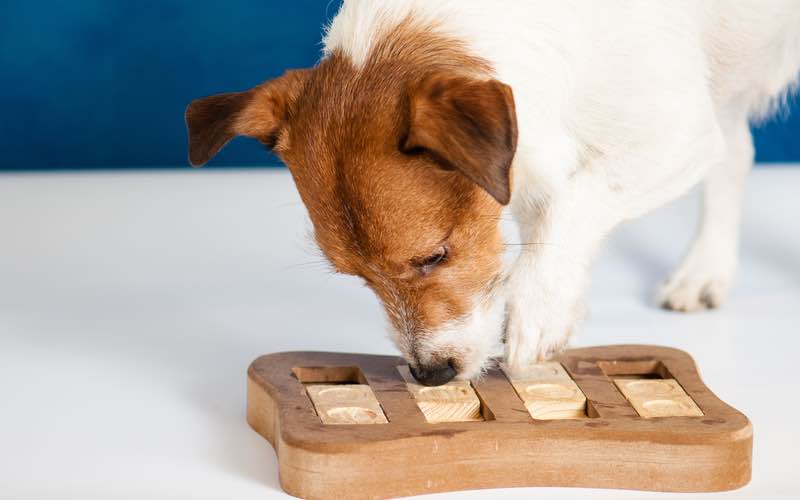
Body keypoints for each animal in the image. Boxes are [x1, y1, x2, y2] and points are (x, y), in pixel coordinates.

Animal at [186, 0, 800, 386]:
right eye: (357, 277)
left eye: (435, 256)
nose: (431, 376)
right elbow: (545, 228)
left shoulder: (678, 134)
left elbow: (576, 203)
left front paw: (540, 309)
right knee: (739, 152)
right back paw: (705, 272)